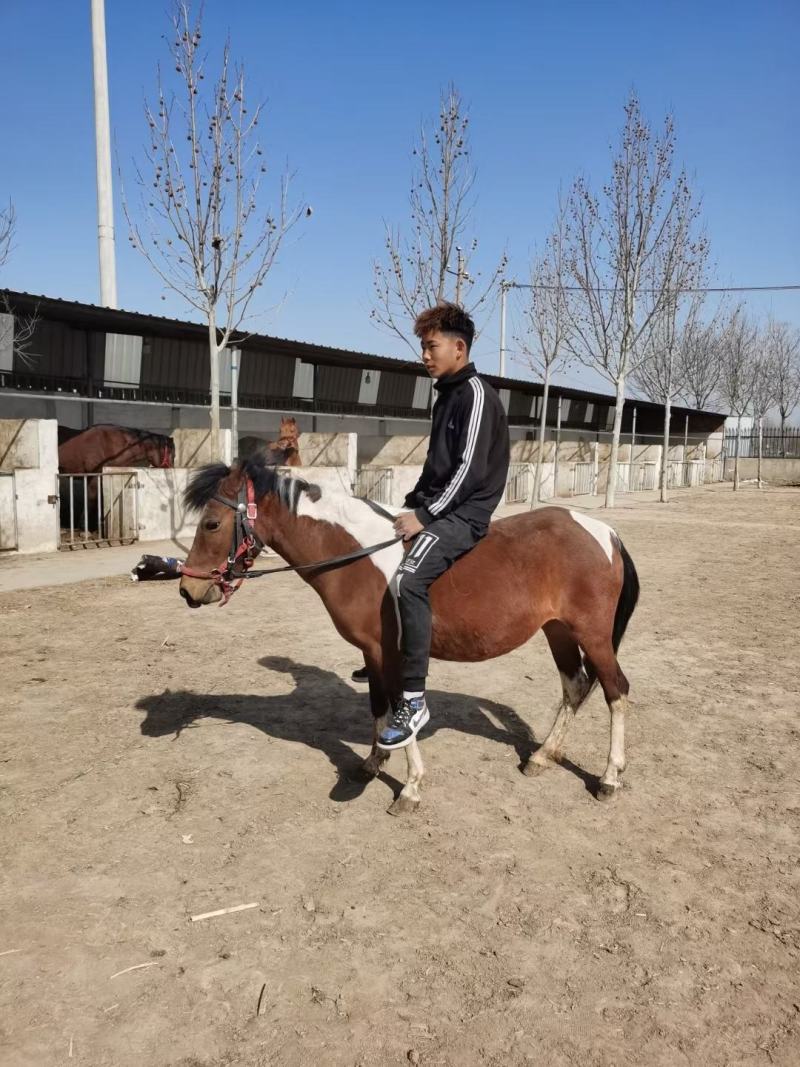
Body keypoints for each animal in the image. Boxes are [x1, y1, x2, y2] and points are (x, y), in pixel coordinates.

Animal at [177, 454, 639, 814]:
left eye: (212, 524)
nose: (187, 590)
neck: (356, 555)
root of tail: (605, 533)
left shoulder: (393, 652)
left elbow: (404, 710)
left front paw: (411, 786)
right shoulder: (371, 652)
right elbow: (380, 706)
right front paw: (372, 763)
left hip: (593, 634)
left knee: (616, 690)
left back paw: (609, 778)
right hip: (557, 630)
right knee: (575, 685)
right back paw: (543, 756)